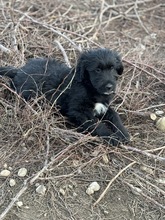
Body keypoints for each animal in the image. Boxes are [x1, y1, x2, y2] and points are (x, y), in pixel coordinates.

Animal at [0, 47, 129, 146]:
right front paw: (112, 137)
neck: (88, 85)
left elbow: (114, 115)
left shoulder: (103, 106)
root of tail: (19, 71)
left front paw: (123, 132)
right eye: (97, 70)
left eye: (112, 68)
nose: (109, 87)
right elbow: (97, 124)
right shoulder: (78, 112)